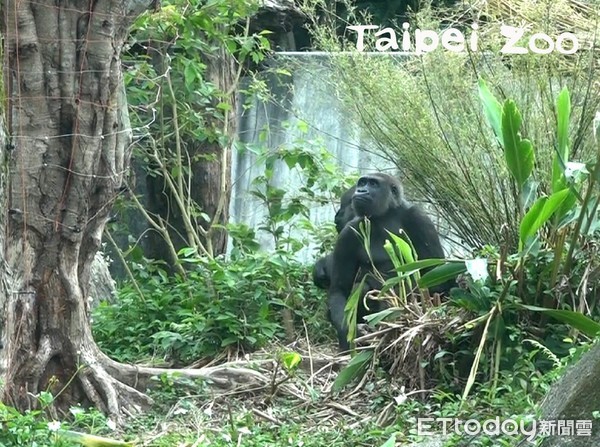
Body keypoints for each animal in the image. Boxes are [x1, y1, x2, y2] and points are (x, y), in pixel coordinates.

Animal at [326, 172, 448, 350]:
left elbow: (436, 278)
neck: (385, 215)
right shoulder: (348, 232)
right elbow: (339, 289)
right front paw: (351, 332)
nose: (360, 190)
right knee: (360, 288)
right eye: (362, 183)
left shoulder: (420, 218)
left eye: (373, 184)